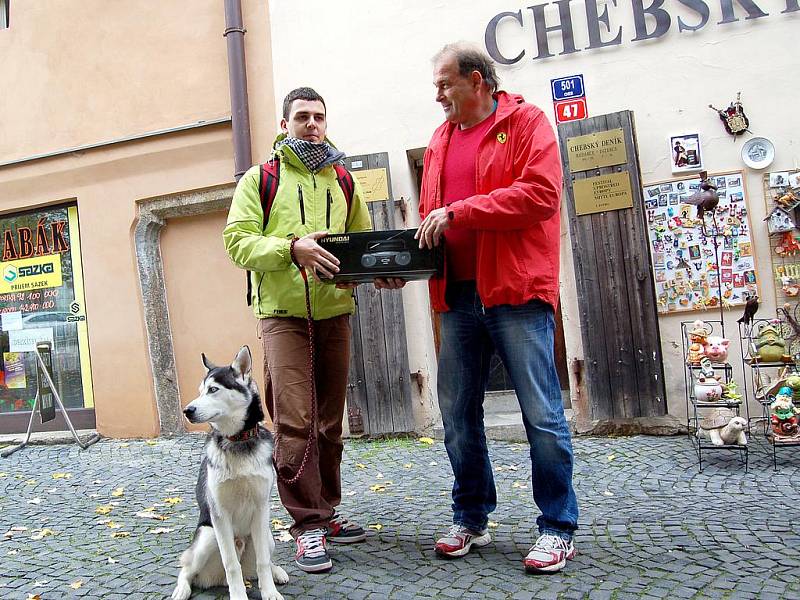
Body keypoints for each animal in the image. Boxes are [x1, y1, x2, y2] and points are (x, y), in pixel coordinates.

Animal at [170, 344, 290, 600]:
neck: (237, 440)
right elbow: (231, 564)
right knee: (187, 569)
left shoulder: (261, 508)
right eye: (200, 391)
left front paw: (270, 591)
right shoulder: (220, 514)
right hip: (208, 537)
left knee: (263, 562)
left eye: (213, 390)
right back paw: (182, 589)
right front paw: (238, 596)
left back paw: (277, 572)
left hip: (266, 535)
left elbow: (263, 562)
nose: (187, 410)